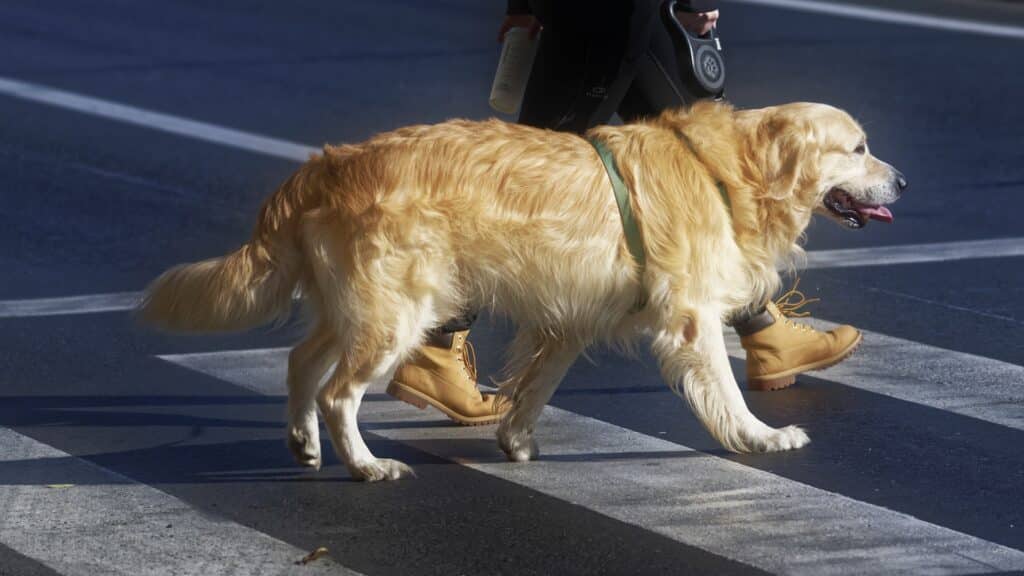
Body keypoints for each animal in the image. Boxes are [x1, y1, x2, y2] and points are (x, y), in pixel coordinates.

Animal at [138, 99, 905, 479]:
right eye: (859, 147)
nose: (901, 182)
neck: (729, 170)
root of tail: (328, 164)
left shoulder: (570, 319)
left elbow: (536, 385)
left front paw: (515, 441)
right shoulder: (690, 317)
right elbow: (725, 390)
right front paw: (759, 437)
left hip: (356, 305)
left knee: (302, 363)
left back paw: (304, 444)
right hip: (395, 311)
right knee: (337, 393)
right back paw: (366, 466)